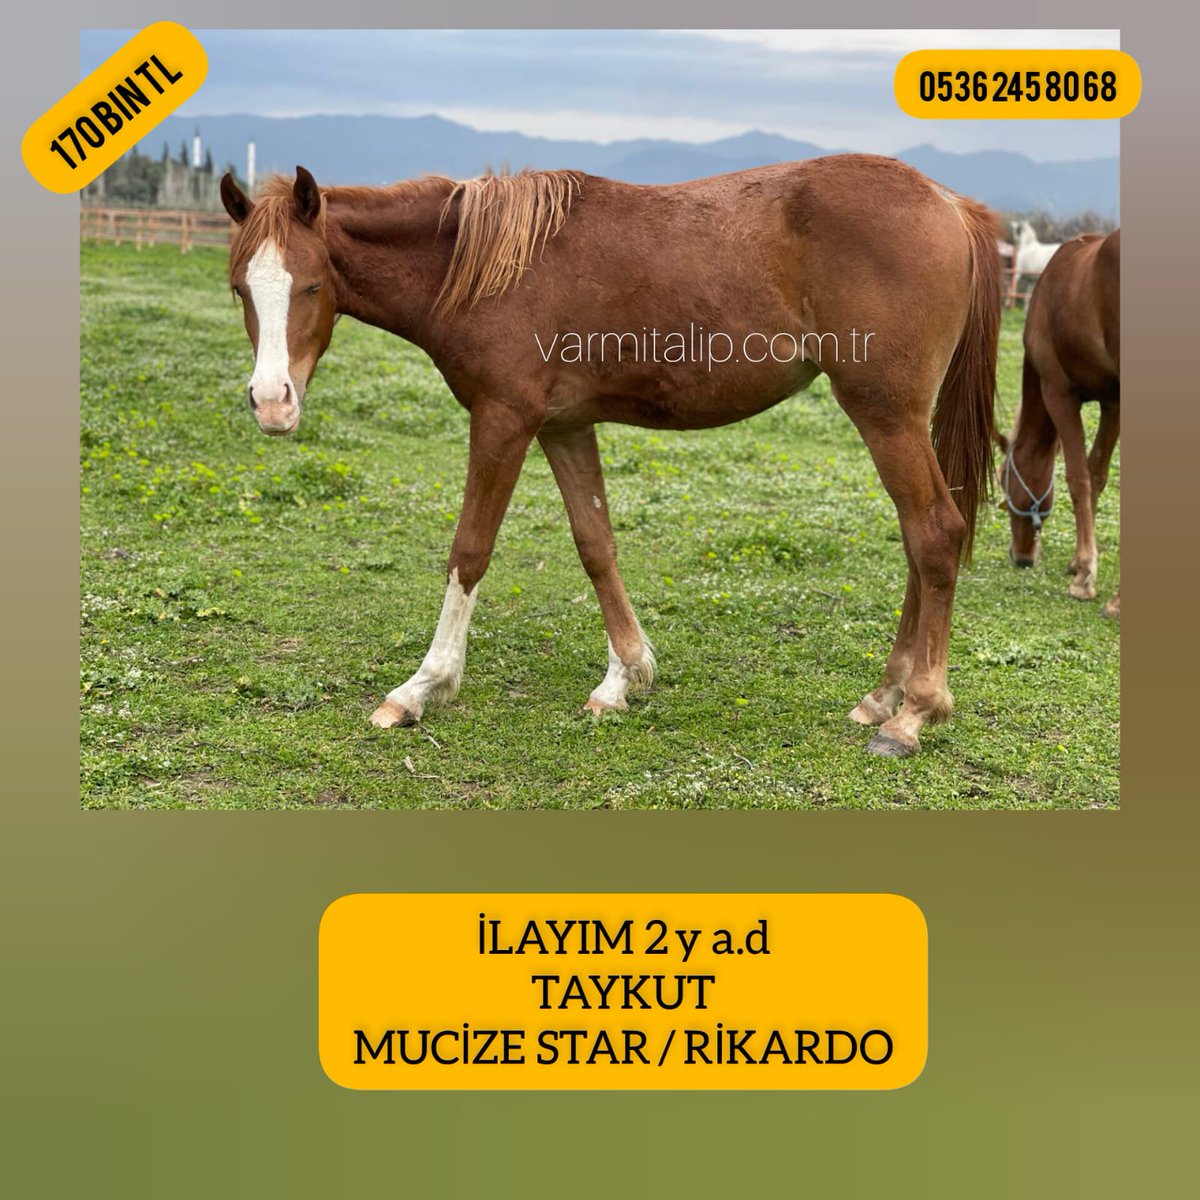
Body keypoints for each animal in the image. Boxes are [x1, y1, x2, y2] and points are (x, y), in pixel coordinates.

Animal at [219, 154, 1000, 757]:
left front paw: (422, 687)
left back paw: (913, 713)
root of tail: (948, 203)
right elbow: (596, 543)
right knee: (919, 541)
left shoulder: (503, 421)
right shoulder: (564, 427)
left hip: (886, 415)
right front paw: (626, 676)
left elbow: (470, 549)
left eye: (312, 283)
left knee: (935, 534)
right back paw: (882, 695)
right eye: (240, 289)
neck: (481, 266)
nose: (272, 402)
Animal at [998, 229, 1120, 611]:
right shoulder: (1113, 404)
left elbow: (1078, 478)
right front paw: (1078, 561)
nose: (1021, 557)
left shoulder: (1058, 393)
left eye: (1005, 483)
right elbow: (1096, 475)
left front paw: (1084, 578)